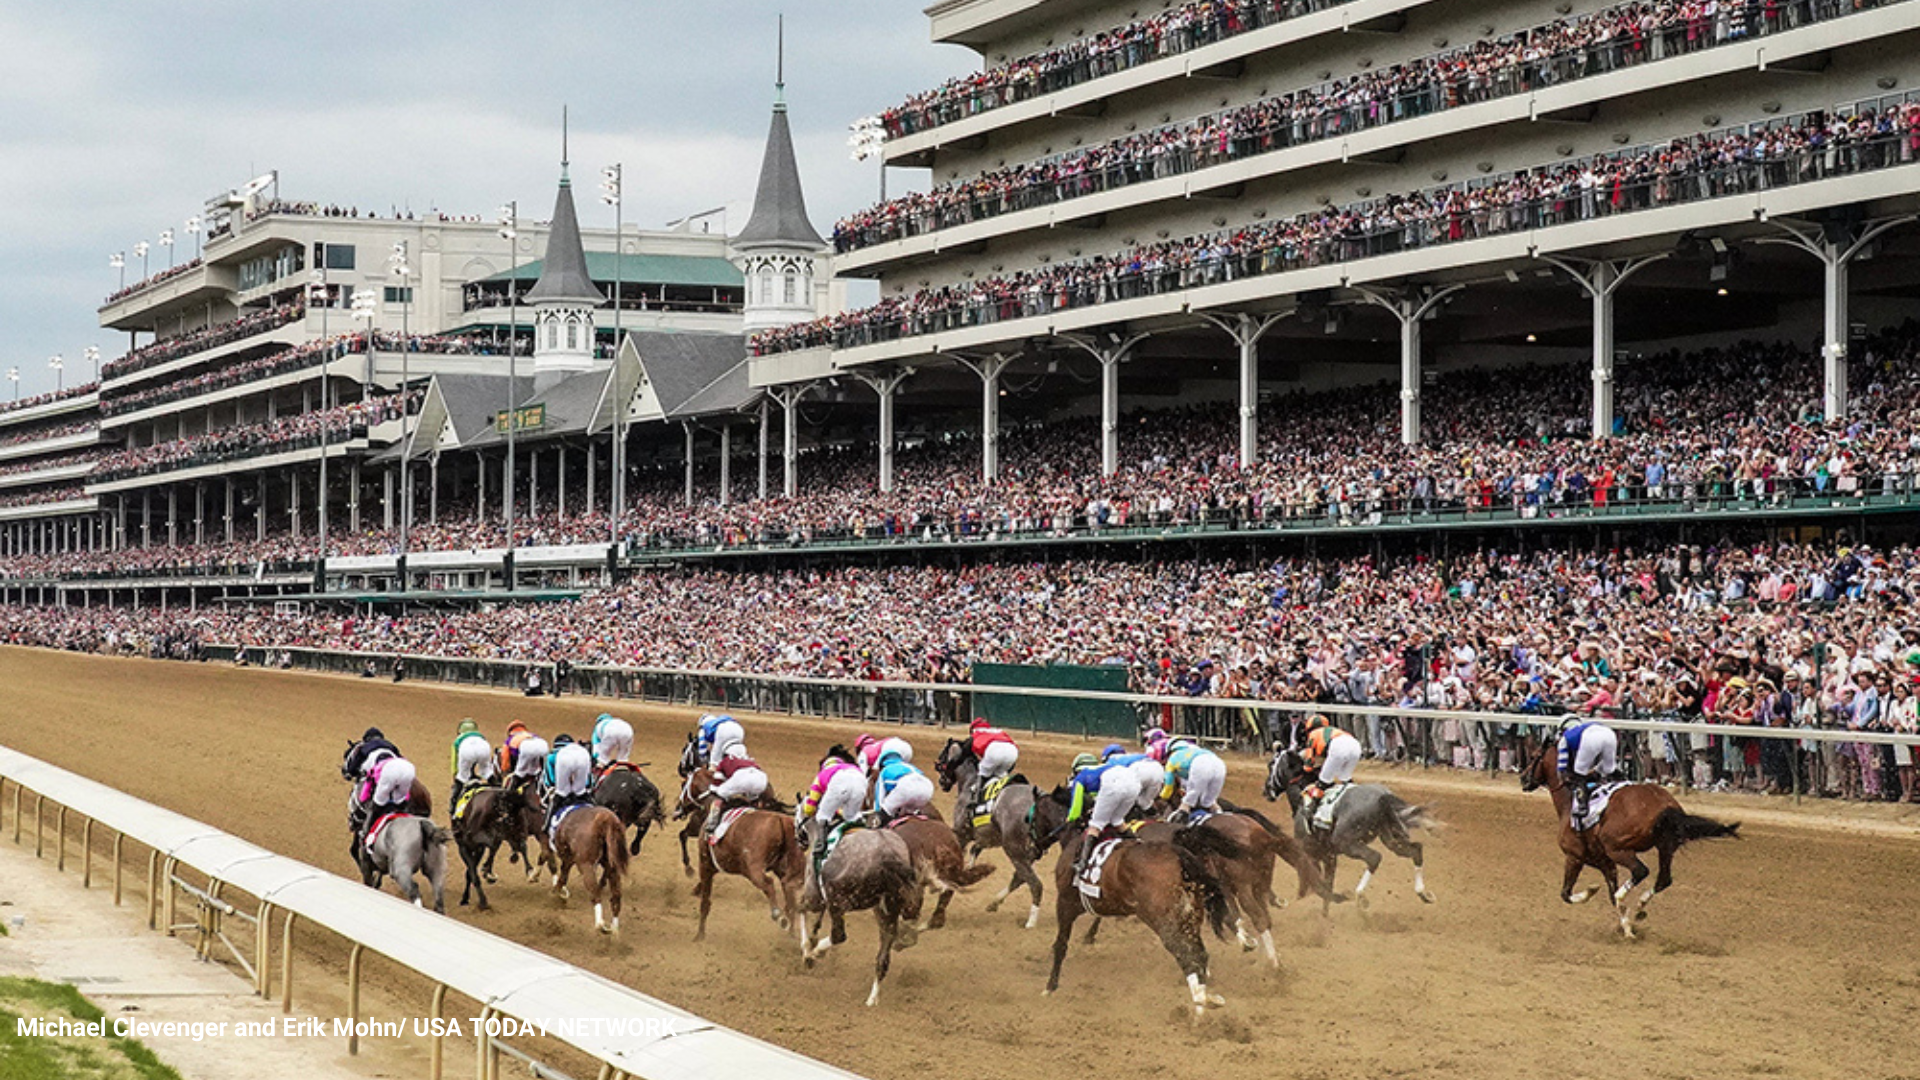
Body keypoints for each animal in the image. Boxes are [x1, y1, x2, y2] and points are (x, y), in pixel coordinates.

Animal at [695, 803, 806, 937]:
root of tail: (781, 820)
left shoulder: (705, 867)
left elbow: (705, 902)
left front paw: (700, 935)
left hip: (753, 870)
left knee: (769, 884)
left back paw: (778, 916)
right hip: (790, 871)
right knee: (790, 899)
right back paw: (791, 933)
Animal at [933, 737, 1044, 926]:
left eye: (942, 756)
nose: (941, 782)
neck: (970, 782)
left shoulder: (961, 834)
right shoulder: (986, 837)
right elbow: (974, 850)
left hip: (1014, 849)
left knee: (1035, 884)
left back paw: (1031, 922)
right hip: (1030, 852)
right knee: (1019, 878)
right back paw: (995, 902)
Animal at [1267, 745, 1436, 910]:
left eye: (1271, 765)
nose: (1266, 790)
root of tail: (1383, 796)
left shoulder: (1310, 853)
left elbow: (1317, 884)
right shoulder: (1329, 856)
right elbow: (1326, 885)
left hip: (1346, 843)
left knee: (1374, 857)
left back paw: (1360, 896)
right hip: (1390, 837)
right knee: (1415, 849)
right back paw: (1423, 893)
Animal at [1528, 730, 1743, 933]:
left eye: (1533, 756)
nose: (1523, 777)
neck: (1568, 801)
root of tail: (1664, 806)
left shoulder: (1575, 856)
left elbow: (1566, 894)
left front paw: (1592, 891)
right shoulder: (1604, 862)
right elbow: (1606, 892)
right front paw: (1626, 927)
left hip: (1617, 847)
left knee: (1640, 871)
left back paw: (1625, 898)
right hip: (1666, 846)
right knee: (1663, 879)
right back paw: (1639, 906)